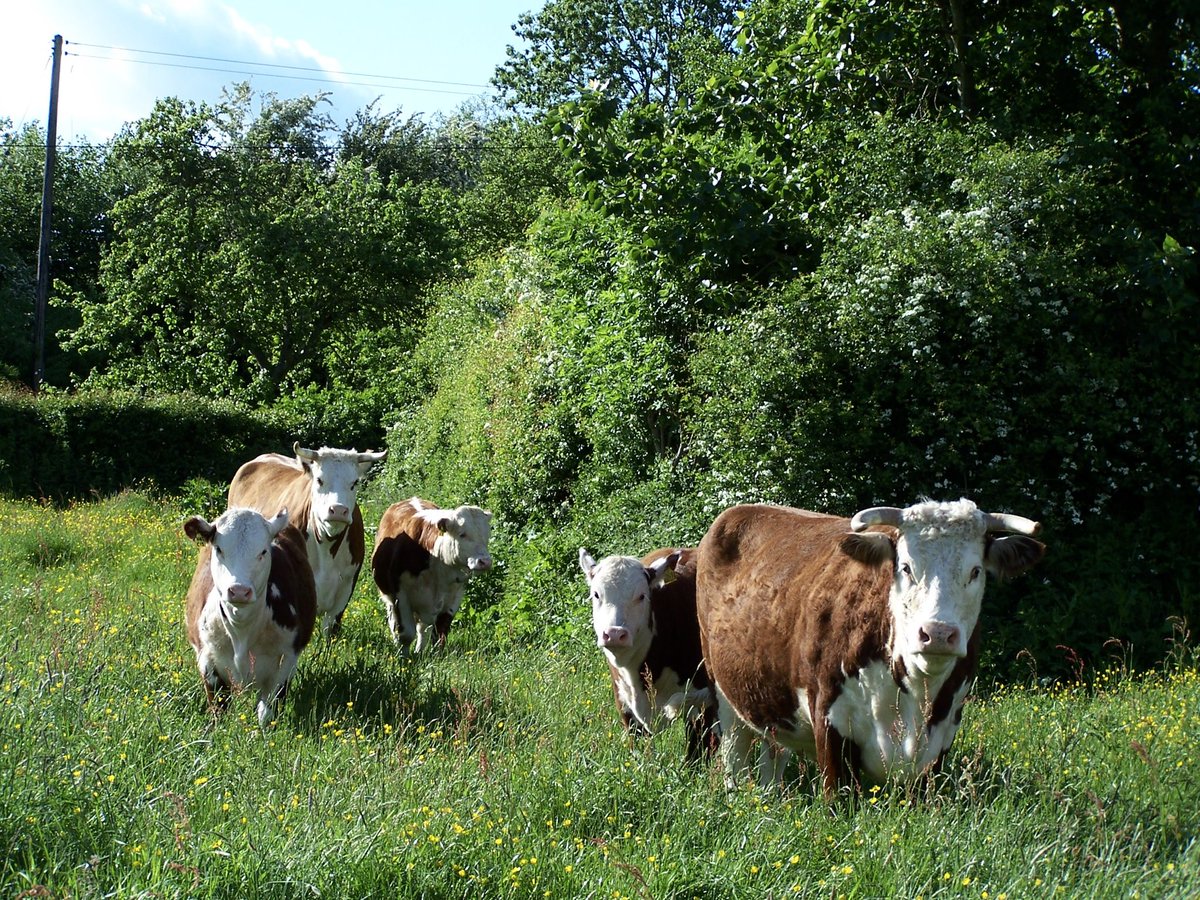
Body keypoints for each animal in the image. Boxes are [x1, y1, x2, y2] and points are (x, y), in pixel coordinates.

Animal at [184, 507, 317, 727]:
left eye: (263, 551)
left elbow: (268, 710)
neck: (242, 630)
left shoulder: (287, 659)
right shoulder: (206, 657)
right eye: (219, 549)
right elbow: (218, 708)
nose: (238, 591)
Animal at [371, 497, 494, 652]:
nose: (485, 562)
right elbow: (406, 633)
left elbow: (440, 631)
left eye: (487, 535)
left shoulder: (453, 597)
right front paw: (403, 656)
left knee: (423, 629)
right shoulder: (399, 595)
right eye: (462, 534)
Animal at [579, 546, 717, 762]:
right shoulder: (624, 704)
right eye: (596, 594)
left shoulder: (704, 703)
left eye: (642, 596)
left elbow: (697, 756)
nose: (615, 634)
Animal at [696, 498, 1045, 795]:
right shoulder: (829, 720)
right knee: (734, 754)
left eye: (975, 571)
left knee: (772, 750)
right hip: (721, 691)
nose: (938, 633)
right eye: (906, 567)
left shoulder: (942, 738)